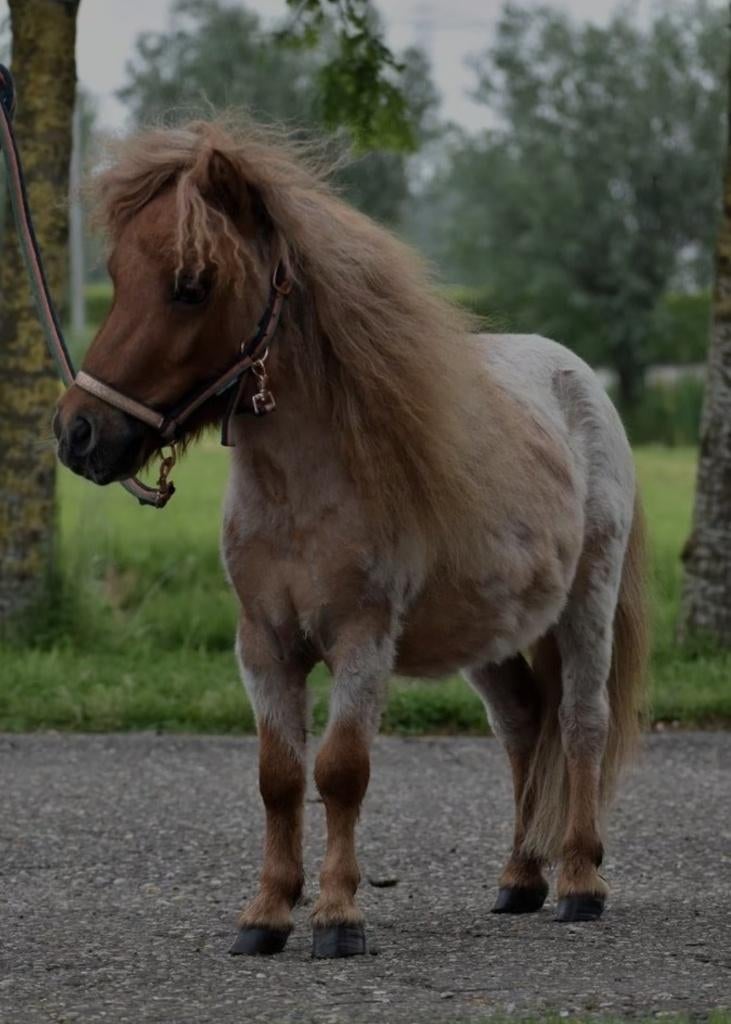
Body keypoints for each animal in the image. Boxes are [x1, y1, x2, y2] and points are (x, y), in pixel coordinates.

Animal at [54, 118, 648, 959]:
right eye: (113, 273)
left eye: (191, 284)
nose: (78, 434)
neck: (305, 493)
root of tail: (577, 377)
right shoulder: (263, 644)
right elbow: (278, 776)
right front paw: (266, 913)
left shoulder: (361, 639)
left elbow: (339, 771)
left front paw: (337, 916)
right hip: (490, 636)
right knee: (523, 726)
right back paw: (519, 878)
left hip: (587, 605)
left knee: (579, 723)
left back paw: (578, 881)